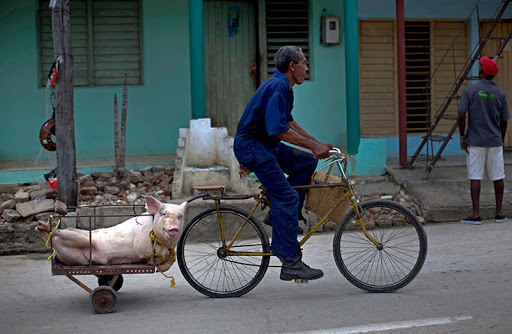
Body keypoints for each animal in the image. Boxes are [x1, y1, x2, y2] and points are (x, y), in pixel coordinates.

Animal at [34, 196, 186, 272]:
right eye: (164, 214)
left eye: (180, 216)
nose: (173, 228)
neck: (163, 241)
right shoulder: (142, 240)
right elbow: (148, 250)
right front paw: (152, 261)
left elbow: (171, 260)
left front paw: (154, 264)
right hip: (79, 237)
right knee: (57, 233)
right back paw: (41, 227)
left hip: (74, 258)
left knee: (56, 242)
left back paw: (41, 230)